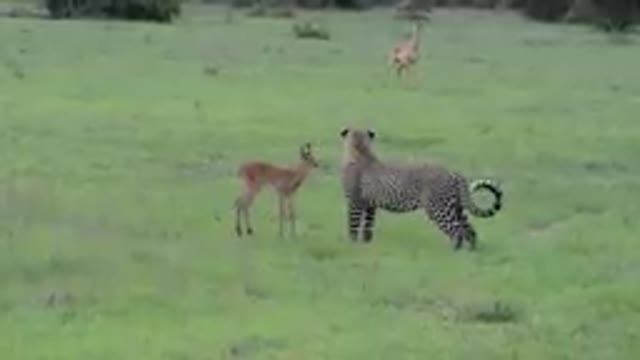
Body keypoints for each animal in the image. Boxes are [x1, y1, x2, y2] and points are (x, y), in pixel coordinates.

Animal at [340, 128, 504, 252]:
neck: (360, 150)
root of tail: (454, 173)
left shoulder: (354, 203)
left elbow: (353, 225)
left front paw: (352, 245)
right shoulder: (370, 206)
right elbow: (368, 227)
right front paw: (366, 245)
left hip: (438, 208)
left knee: (456, 231)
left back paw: (454, 252)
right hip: (456, 208)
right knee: (469, 230)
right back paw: (472, 252)